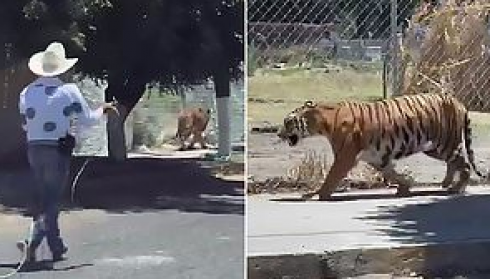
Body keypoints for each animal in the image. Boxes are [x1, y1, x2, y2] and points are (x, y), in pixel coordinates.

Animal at [278, 94, 484, 201]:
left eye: (288, 122)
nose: (279, 134)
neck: (323, 122)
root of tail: (457, 101)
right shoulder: (377, 157)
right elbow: (391, 173)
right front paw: (405, 186)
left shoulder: (345, 157)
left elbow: (330, 177)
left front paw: (317, 194)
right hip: (434, 148)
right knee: (454, 163)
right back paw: (446, 183)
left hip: (444, 144)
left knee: (464, 163)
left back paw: (457, 188)